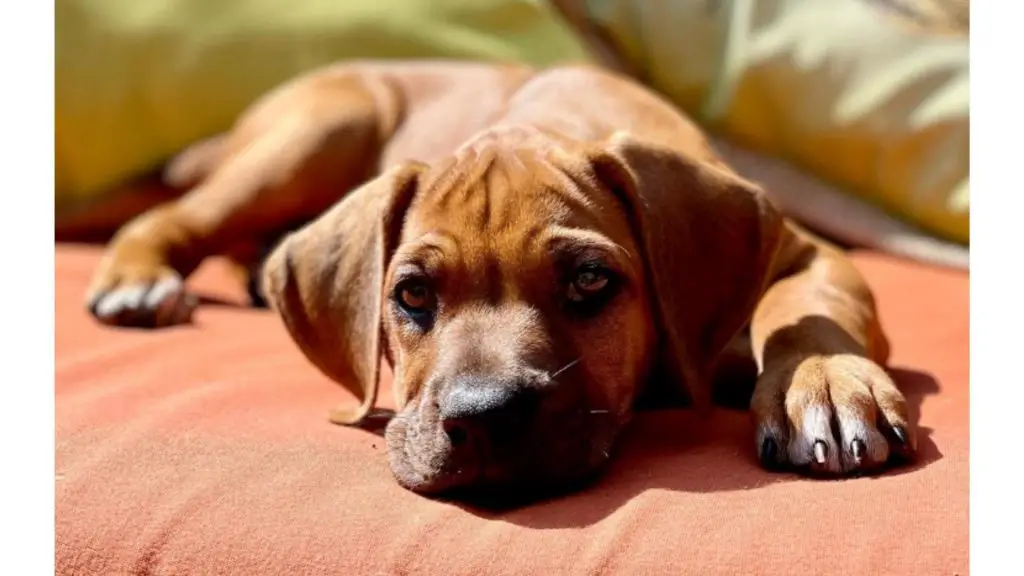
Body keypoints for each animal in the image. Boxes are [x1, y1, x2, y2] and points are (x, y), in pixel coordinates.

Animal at [88, 60, 917, 496]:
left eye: (589, 281)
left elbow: (805, 308)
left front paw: (824, 383)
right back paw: (140, 279)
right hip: (322, 129)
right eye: (411, 295)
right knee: (176, 215)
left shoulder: (808, 253)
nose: (483, 419)